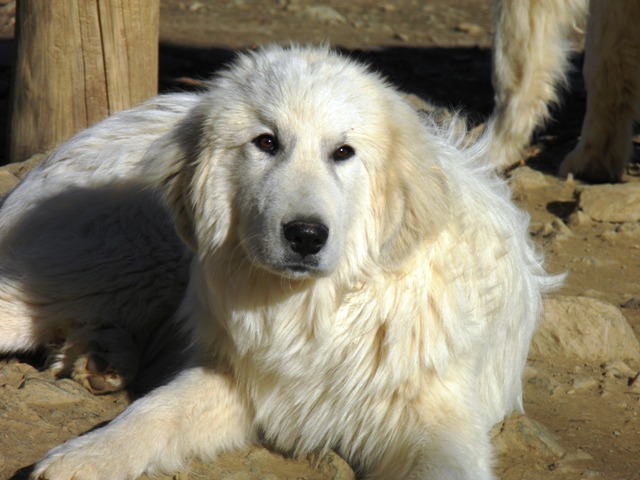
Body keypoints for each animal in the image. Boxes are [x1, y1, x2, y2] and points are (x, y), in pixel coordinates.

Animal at [1, 46, 556, 480]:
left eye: (343, 152)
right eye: (266, 142)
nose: (305, 236)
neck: (319, 314)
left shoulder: (439, 423)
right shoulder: (239, 377)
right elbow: (153, 412)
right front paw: (83, 458)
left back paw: (97, 358)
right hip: (132, 264)